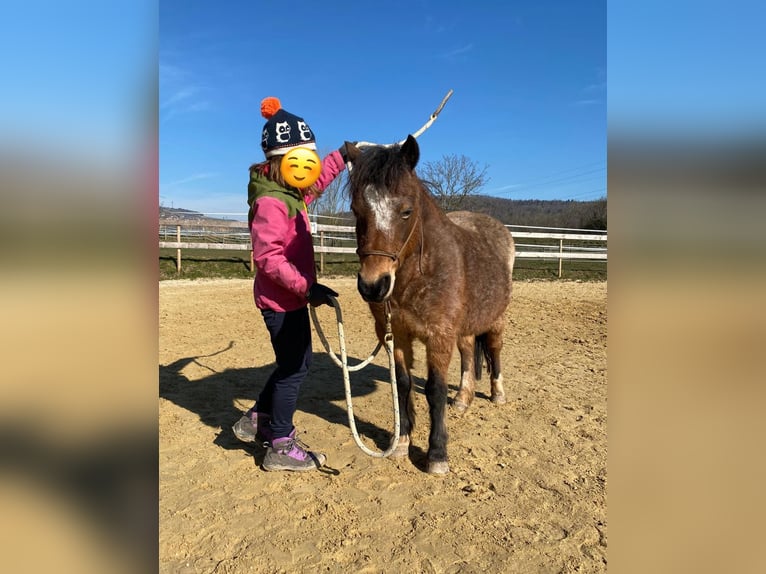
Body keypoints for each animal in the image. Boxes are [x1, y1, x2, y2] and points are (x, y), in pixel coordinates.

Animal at [344, 135, 515, 474]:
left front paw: (436, 455)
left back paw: (497, 394)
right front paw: (400, 443)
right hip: (463, 327)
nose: (373, 285)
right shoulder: (396, 336)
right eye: (357, 210)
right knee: (467, 353)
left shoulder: (438, 337)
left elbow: (435, 391)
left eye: (406, 211)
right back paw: (462, 399)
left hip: (495, 319)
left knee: (495, 350)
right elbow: (403, 385)